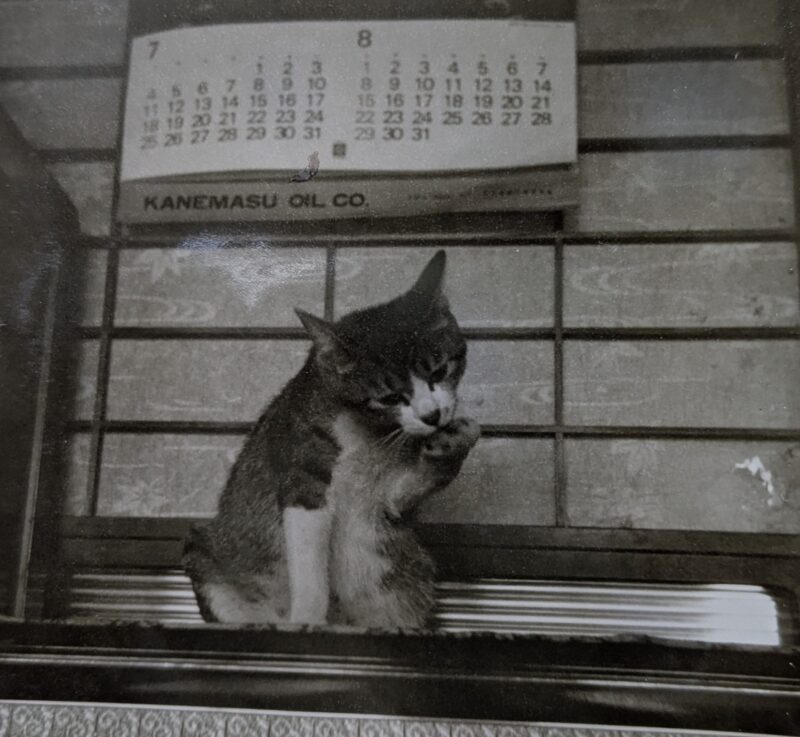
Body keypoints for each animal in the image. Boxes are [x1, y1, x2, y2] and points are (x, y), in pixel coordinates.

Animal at [183, 250, 480, 628]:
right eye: (390, 397)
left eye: (440, 370)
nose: (433, 416)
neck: (368, 432)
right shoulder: (302, 472)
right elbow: (308, 560)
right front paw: (308, 619)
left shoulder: (390, 495)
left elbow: (406, 488)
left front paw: (456, 440)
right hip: (205, 553)